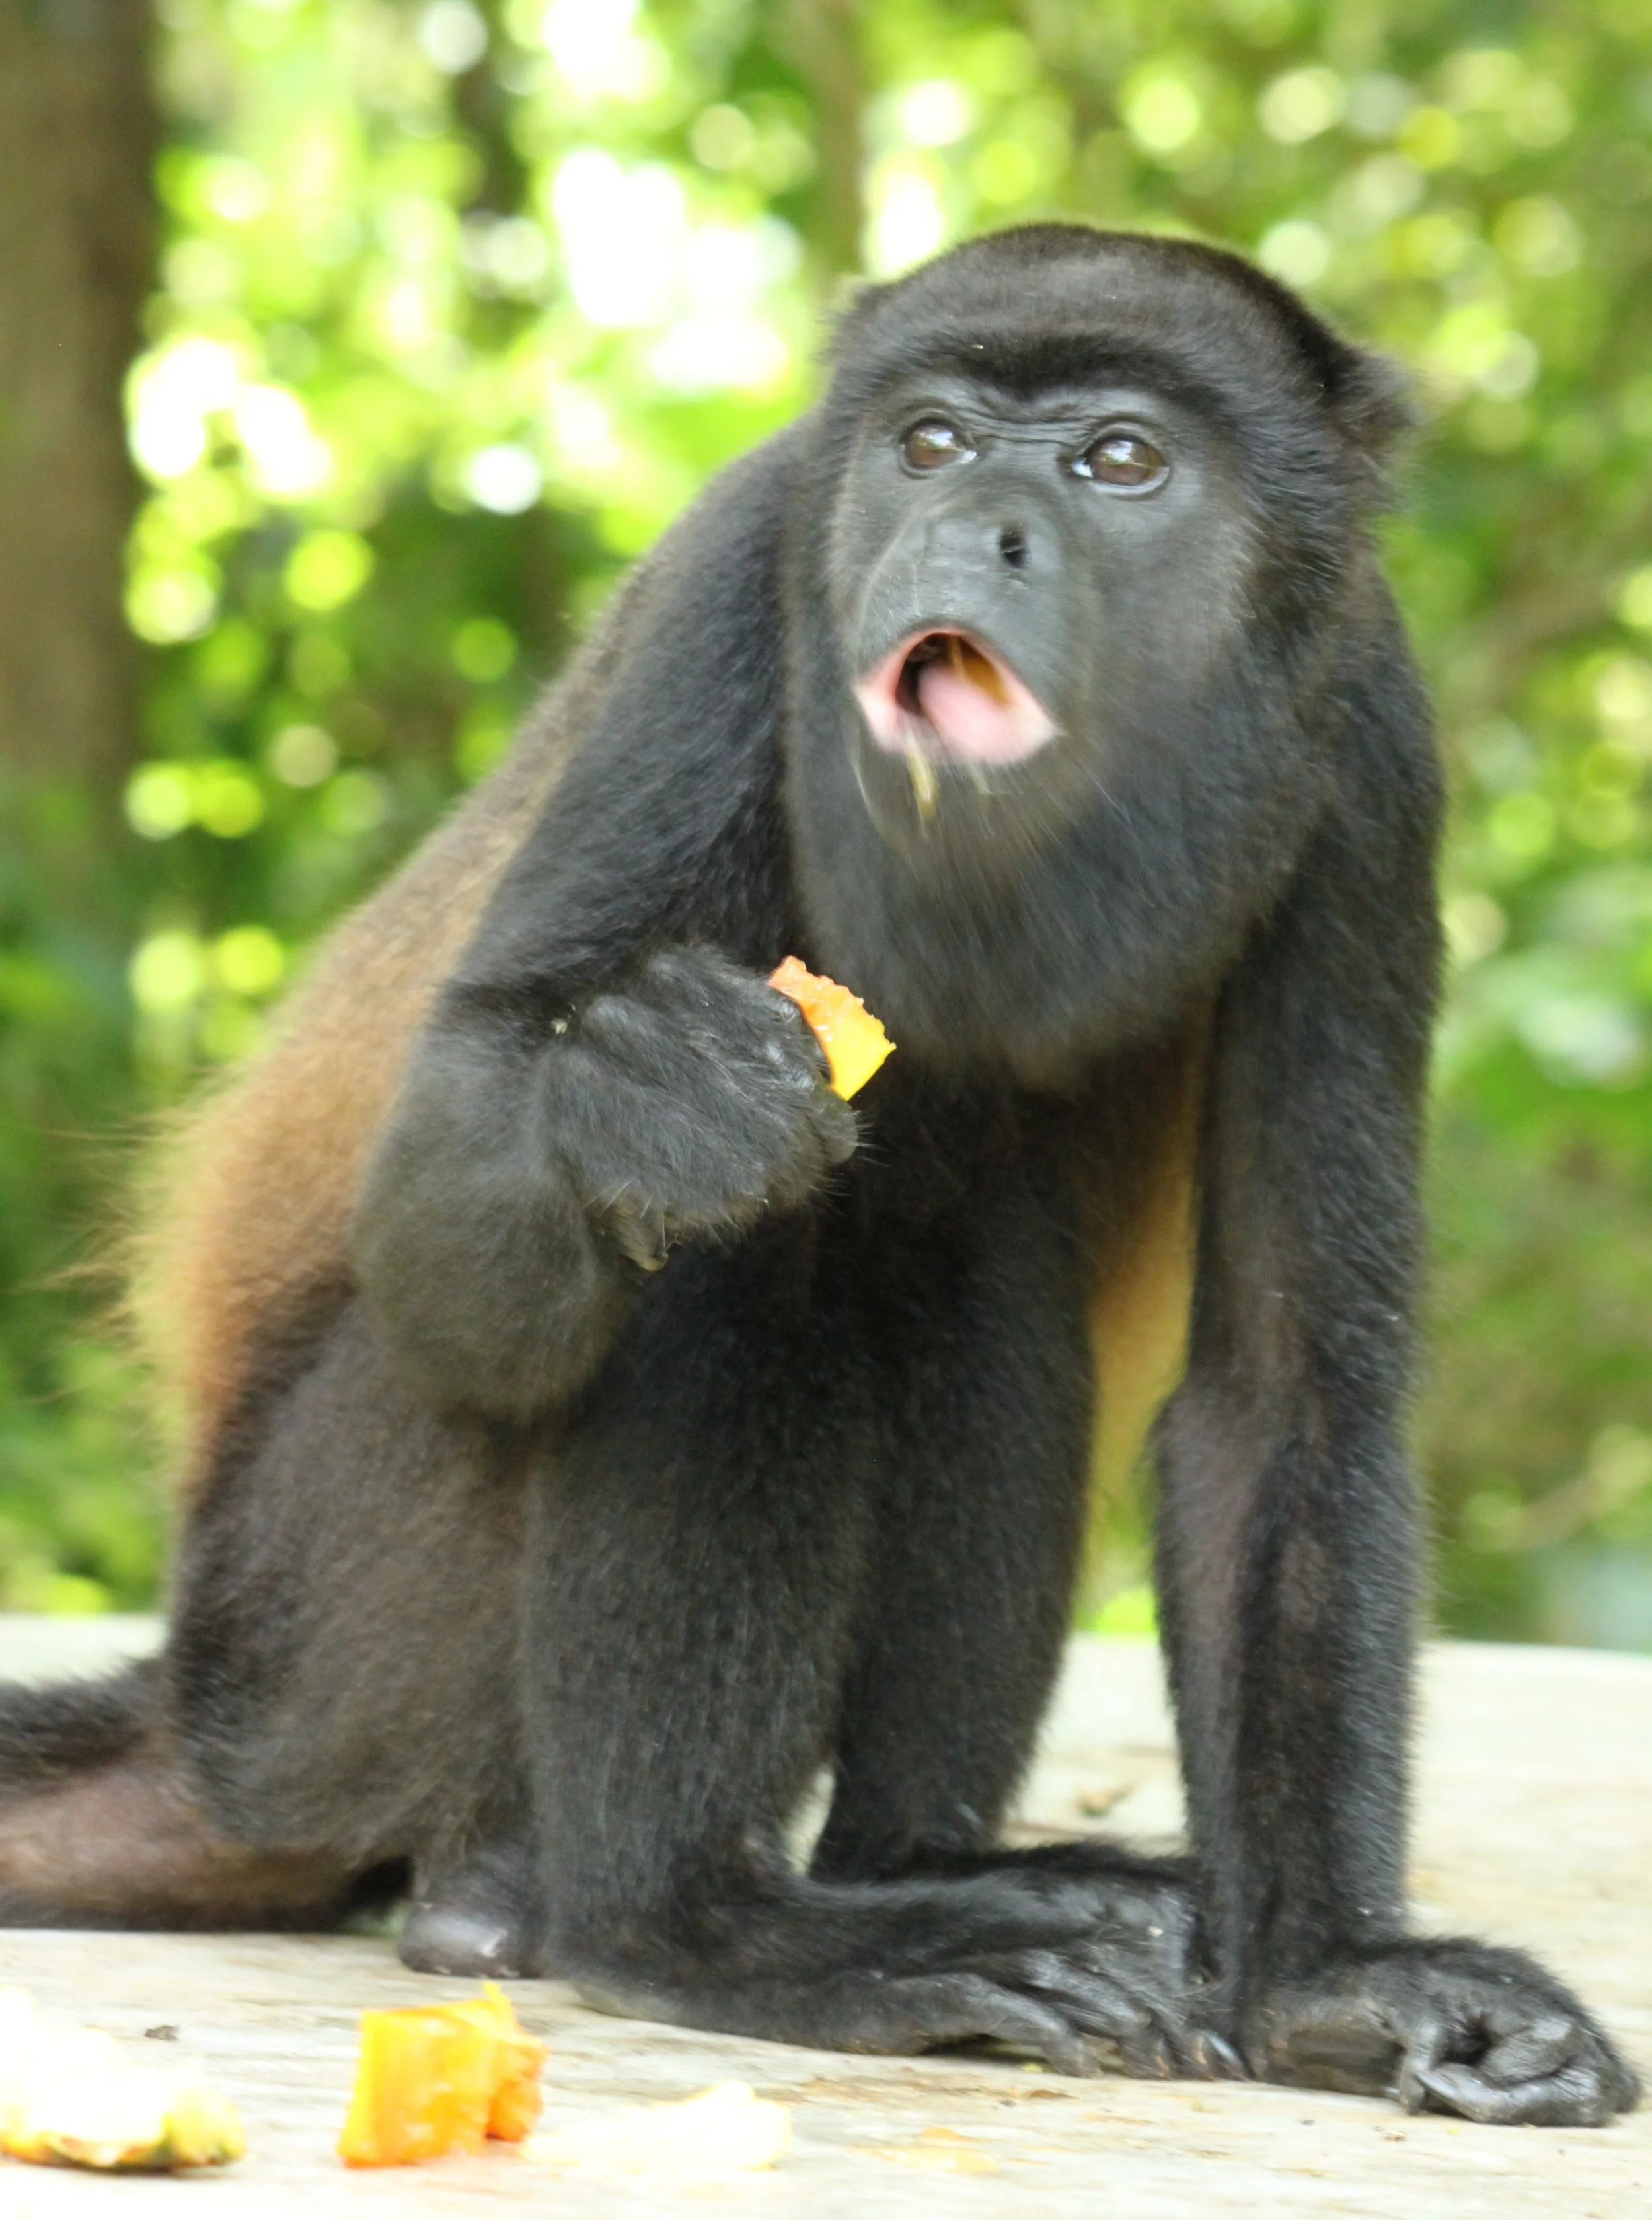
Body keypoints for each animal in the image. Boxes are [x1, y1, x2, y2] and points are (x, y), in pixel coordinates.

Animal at [0, 226, 1636, 2125]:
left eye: (1118, 459)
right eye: (927, 446)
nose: (972, 528)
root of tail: (196, 1714)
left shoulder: (1370, 741)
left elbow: (1284, 1384)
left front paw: (1329, 1978)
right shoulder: (733, 580)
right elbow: (469, 1189)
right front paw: (637, 1106)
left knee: (976, 1285)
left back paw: (915, 1871)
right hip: (323, 1648)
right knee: (740, 1264)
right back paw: (698, 1932)